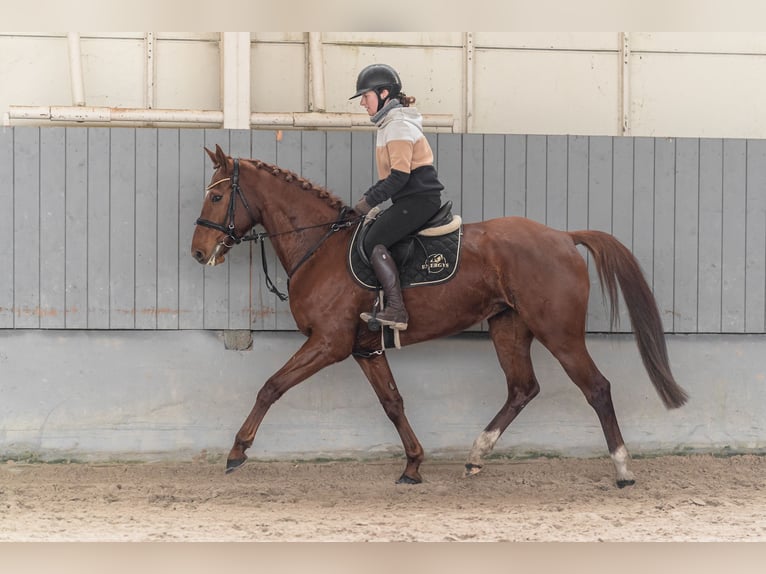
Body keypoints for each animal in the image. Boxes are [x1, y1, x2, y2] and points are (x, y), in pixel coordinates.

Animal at [190, 145, 688, 490]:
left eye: (216, 195)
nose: (198, 251)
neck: (320, 246)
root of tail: (564, 237)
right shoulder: (365, 349)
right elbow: (393, 403)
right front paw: (413, 464)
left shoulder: (328, 343)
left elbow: (271, 386)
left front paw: (237, 451)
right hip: (509, 328)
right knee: (522, 388)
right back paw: (476, 454)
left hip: (559, 332)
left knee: (597, 388)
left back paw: (623, 469)